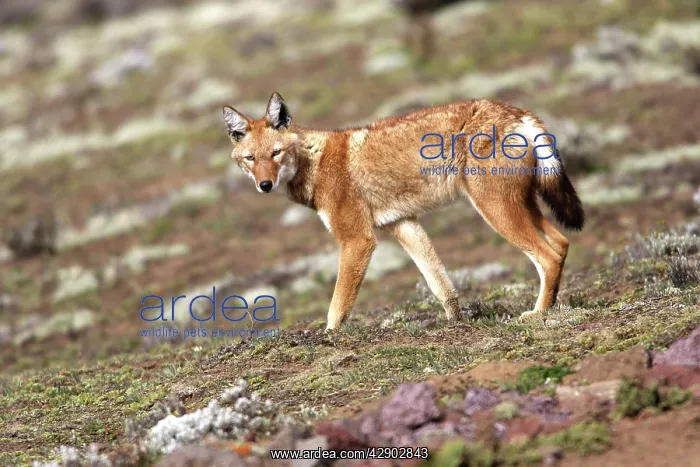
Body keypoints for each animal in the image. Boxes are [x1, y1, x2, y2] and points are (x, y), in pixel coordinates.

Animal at [222, 93, 584, 330]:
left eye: (276, 153)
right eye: (251, 159)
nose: (265, 185)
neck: (315, 162)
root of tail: (517, 112)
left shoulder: (358, 241)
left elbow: (337, 305)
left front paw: (328, 338)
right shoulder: (403, 225)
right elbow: (441, 285)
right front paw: (457, 323)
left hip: (496, 212)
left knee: (548, 257)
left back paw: (539, 314)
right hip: (520, 209)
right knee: (562, 244)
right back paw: (551, 307)